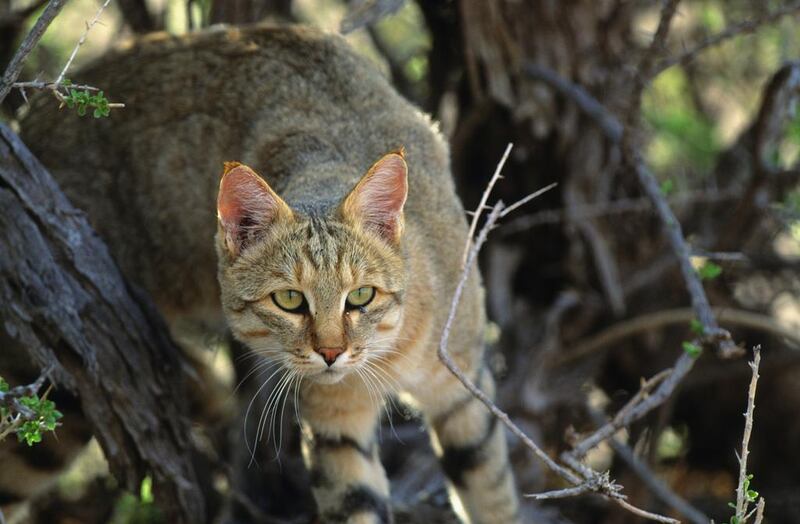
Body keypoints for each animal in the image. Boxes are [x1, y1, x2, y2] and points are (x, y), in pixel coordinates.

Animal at [15, 22, 524, 520]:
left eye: (361, 296)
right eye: (290, 300)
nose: (331, 353)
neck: (388, 353)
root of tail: (29, 119)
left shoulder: (463, 388)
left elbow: (493, 495)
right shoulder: (337, 429)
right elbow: (357, 501)